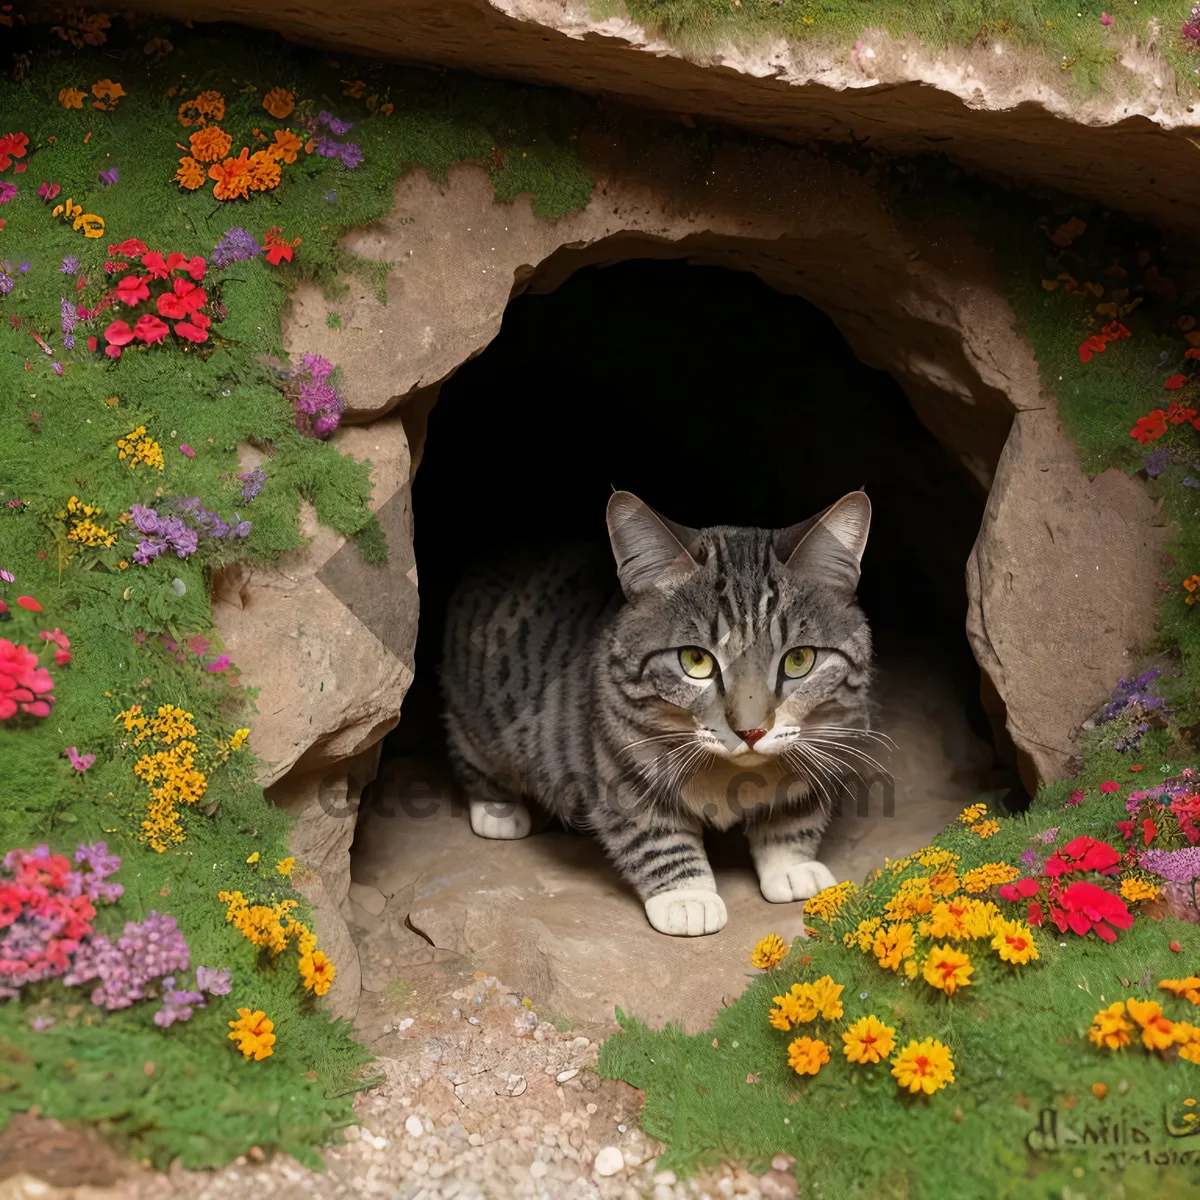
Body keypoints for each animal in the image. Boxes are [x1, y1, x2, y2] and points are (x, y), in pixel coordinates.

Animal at [441, 489, 883, 936]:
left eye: (799, 660)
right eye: (695, 660)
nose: (751, 731)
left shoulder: (828, 743)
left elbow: (794, 814)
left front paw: (793, 868)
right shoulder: (617, 765)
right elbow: (655, 836)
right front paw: (688, 898)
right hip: (474, 721)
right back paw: (499, 812)